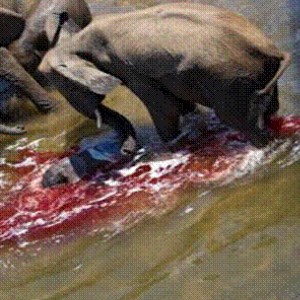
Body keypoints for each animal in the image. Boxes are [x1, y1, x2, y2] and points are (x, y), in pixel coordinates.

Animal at [39, 2, 290, 188]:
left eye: (68, 88)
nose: (125, 151)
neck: (75, 41)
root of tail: (270, 49)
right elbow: (181, 107)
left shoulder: (130, 69)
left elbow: (166, 109)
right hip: (252, 77)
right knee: (268, 111)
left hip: (230, 83)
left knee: (243, 123)